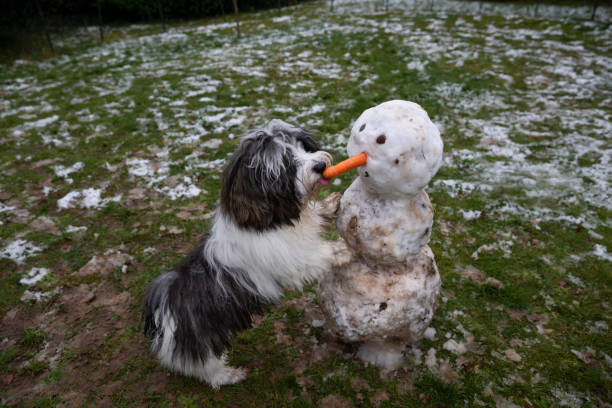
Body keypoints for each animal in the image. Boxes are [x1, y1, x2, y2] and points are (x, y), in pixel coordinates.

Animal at [145, 119, 342, 388]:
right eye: (286, 162)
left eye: (303, 146)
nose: (320, 165)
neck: (269, 220)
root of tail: (166, 307)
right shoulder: (293, 261)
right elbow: (322, 254)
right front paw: (345, 249)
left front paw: (329, 206)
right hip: (206, 343)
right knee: (204, 368)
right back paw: (228, 376)